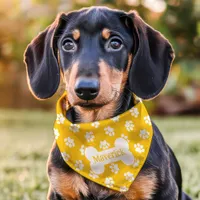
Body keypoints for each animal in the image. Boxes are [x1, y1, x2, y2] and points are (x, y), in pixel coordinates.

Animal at [24, 6, 191, 200]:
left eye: (115, 43)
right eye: (67, 44)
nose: (85, 89)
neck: (96, 129)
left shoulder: (165, 192)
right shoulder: (60, 190)